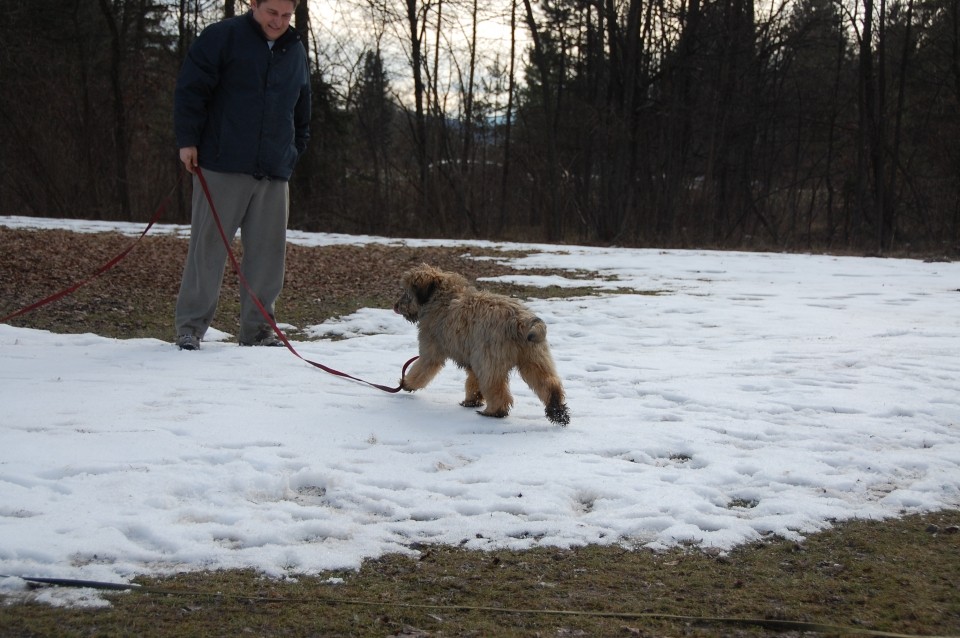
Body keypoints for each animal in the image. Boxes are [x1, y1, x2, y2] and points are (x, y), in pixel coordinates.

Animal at [392, 262, 568, 428]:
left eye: (406, 292)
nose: (396, 306)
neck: (441, 298)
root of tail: (520, 320)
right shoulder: (472, 357)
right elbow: (473, 382)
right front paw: (471, 400)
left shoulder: (431, 350)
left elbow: (421, 369)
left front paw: (406, 383)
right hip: (534, 358)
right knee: (549, 383)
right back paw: (557, 411)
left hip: (490, 360)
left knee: (497, 389)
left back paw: (494, 411)